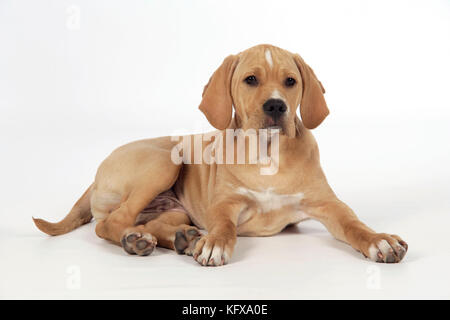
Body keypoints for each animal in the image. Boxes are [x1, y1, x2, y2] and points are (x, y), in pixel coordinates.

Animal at [34, 44, 408, 264]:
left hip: (174, 209)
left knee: (152, 223)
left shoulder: (328, 204)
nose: (276, 106)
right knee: (110, 223)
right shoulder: (224, 203)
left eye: (290, 81)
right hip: (163, 163)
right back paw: (139, 240)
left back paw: (179, 239)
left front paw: (379, 240)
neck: (268, 155)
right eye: (251, 80)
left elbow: (354, 224)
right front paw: (216, 242)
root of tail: (95, 176)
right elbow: (224, 225)